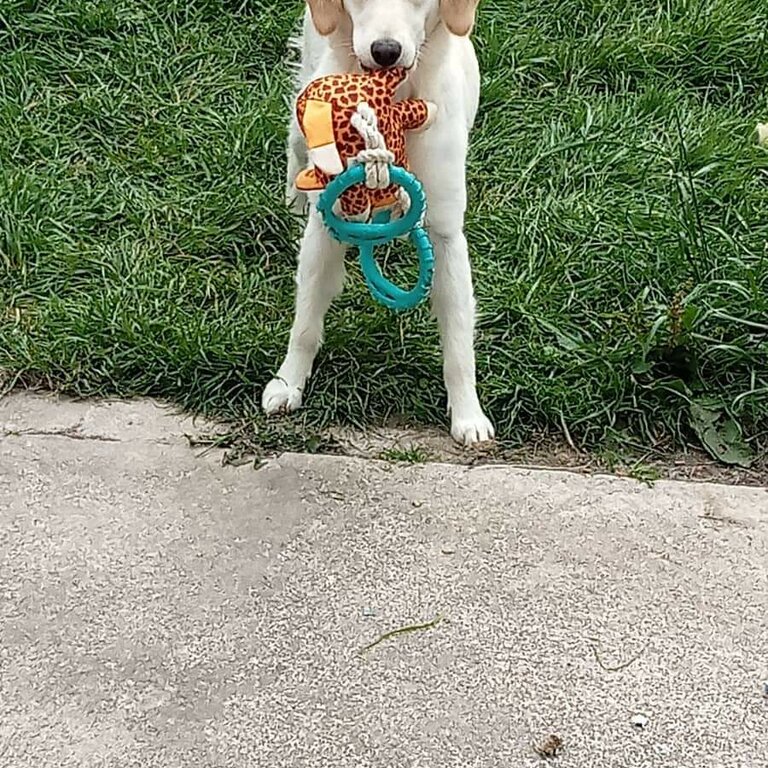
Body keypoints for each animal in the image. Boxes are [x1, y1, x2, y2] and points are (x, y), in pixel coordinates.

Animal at [260, 1, 496, 444]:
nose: (386, 51)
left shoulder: (446, 232)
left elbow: (459, 339)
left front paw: (468, 414)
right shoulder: (326, 227)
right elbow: (305, 322)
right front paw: (288, 383)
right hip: (306, 99)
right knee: (294, 146)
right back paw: (293, 201)